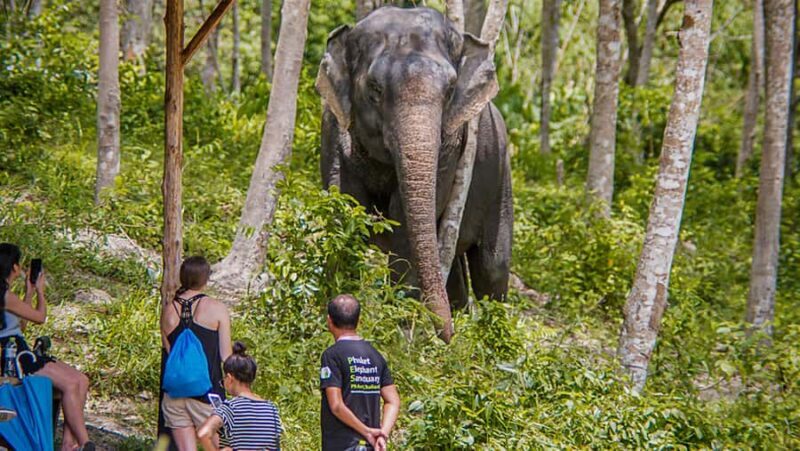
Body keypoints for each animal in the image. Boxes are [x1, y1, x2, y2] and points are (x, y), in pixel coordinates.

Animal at [315, 6, 513, 341]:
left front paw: (399, 330)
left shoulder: (451, 147)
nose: (445, 336)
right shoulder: (333, 126)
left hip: (501, 177)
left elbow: (405, 222)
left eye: (450, 90)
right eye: (374, 89)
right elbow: (344, 209)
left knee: (492, 266)